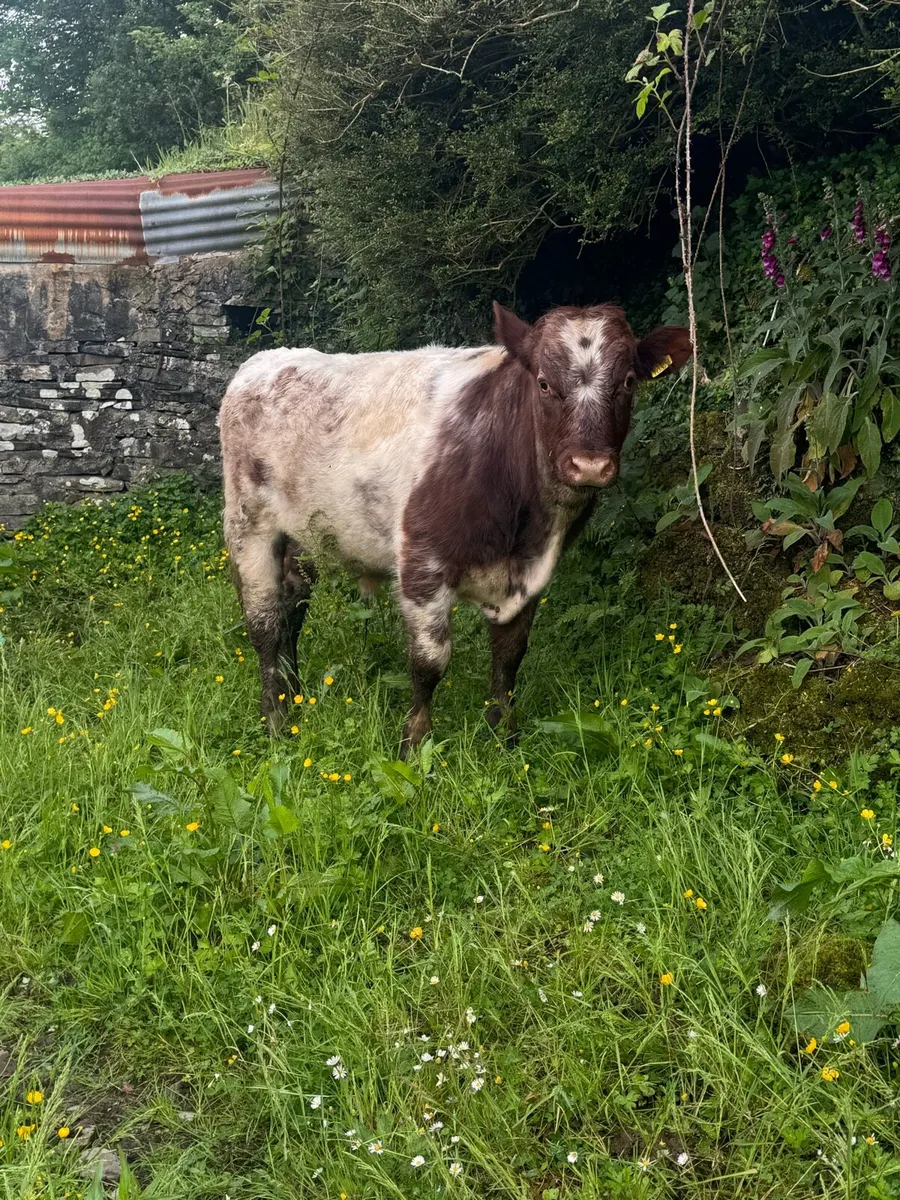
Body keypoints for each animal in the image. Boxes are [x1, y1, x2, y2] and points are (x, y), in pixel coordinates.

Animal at [219, 302, 690, 755]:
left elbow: (510, 656)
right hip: (248, 526)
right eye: (543, 383)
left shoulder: (531, 574)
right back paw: (277, 723)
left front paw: (504, 738)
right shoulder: (422, 564)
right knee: (265, 625)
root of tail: (262, 361)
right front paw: (414, 747)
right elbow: (430, 663)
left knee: (293, 610)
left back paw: (294, 698)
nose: (589, 465)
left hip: (302, 536)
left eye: (628, 381)